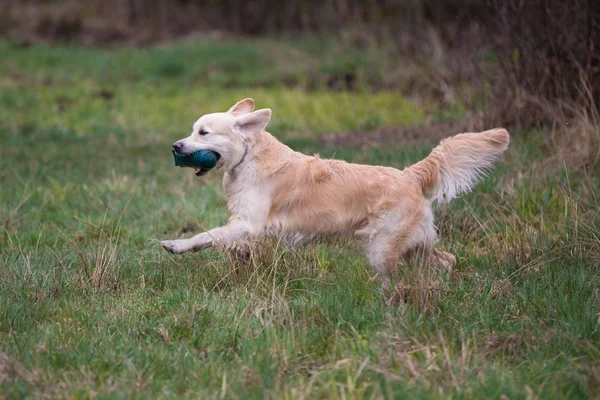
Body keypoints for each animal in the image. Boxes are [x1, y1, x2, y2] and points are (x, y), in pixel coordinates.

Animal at [162, 98, 508, 286]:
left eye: (203, 132)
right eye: (193, 131)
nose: (176, 146)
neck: (248, 157)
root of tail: (409, 176)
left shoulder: (249, 223)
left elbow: (207, 235)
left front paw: (177, 245)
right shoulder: (243, 224)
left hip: (384, 247)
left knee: (396, 279)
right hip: (413, 246)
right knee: (447, 259)